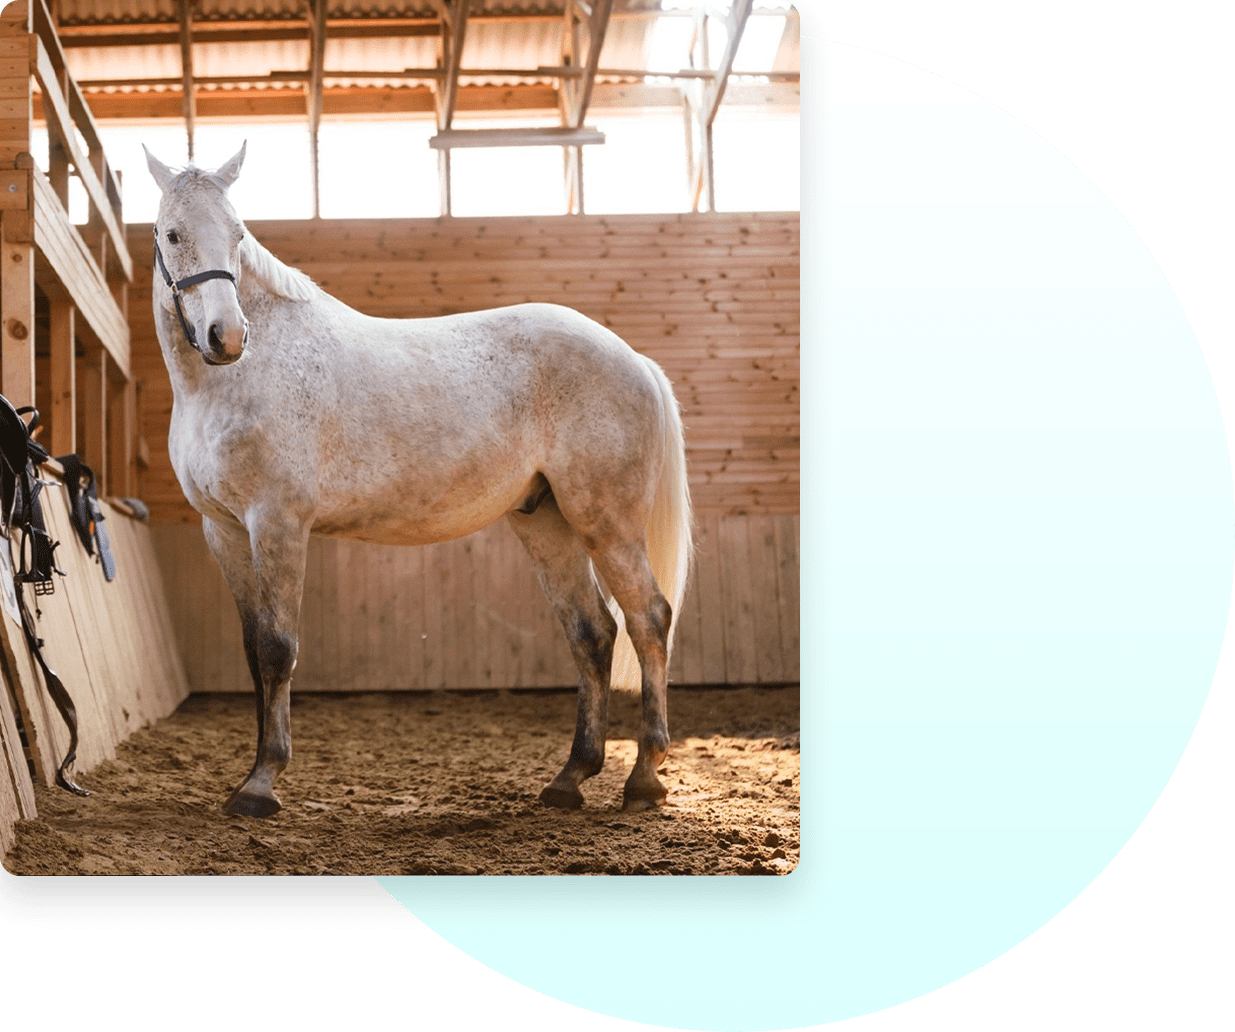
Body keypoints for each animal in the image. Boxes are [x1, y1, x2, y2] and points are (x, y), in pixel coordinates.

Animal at [144, 145, 696, 819]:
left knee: (648, 618)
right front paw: (250, 775)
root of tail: (632, 358)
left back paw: (643, 777)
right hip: (547, 523)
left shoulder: (277, 524)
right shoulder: (222, 530)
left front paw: (261, 783)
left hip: (606, 523)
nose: (226, 337)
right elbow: (253, 652)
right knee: (593, 634)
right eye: (173, 233)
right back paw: (570, 779)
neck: (238, 378)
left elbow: (277, 648)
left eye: (239, 234)